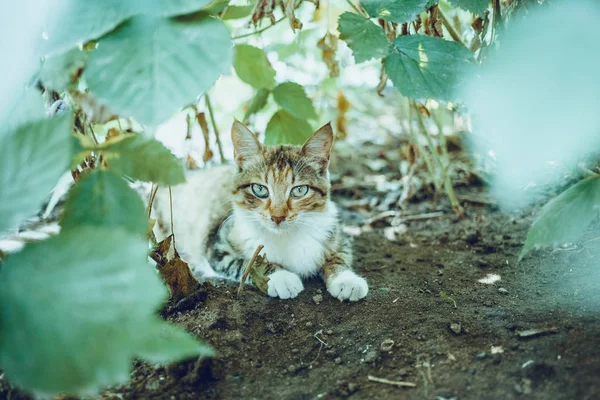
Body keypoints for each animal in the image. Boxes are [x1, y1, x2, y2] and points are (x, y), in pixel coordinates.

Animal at [152, 120, 368, 302]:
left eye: (299, 190)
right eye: (259, 189)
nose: (278, 217)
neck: (286, 235)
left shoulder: (334, 231)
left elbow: (340, 254)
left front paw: (346, 279)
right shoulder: (217, 248)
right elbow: (246, 263)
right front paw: (281, 277)